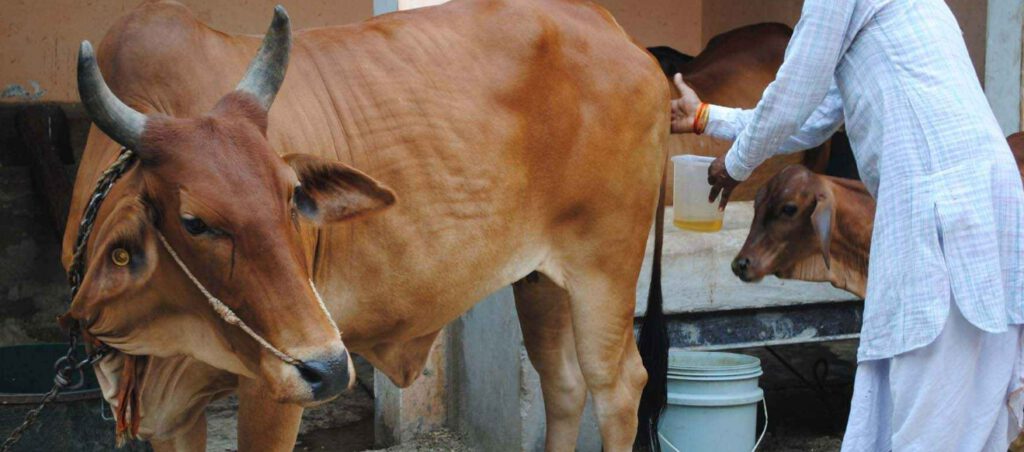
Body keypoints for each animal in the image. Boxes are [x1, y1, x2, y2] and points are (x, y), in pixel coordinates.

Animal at [62, 1, 669, 450]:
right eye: (193, 221)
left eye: (293, 196)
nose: (328, 367)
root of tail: (614, 29)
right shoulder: (173, 410)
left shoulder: (272, 391)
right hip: (539, 277)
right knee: (562, 384)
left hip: (606, 265)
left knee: (618, 387)